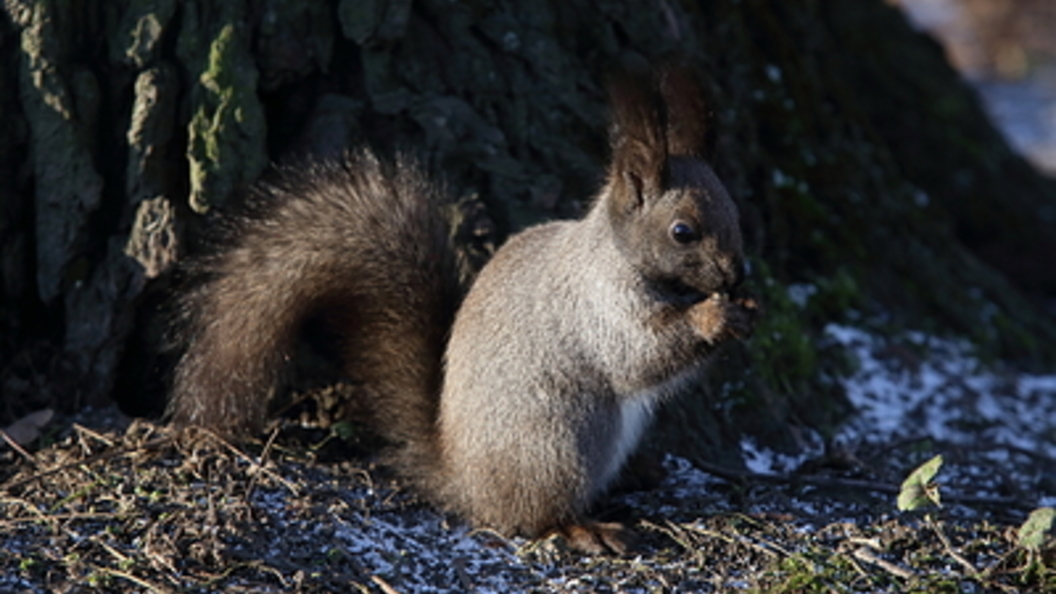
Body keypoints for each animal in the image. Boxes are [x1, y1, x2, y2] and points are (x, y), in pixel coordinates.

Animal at [166, 67, 760, 553]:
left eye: (736, 211)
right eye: (682, 232)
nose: (735, 276)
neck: (616, 254)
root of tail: (463, 478)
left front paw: (746, 309)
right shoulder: (598, 306)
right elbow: (639, 354)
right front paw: (714, 318)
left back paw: (636, 473)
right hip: (556, 445)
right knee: (528, 516)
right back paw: (582, 527)